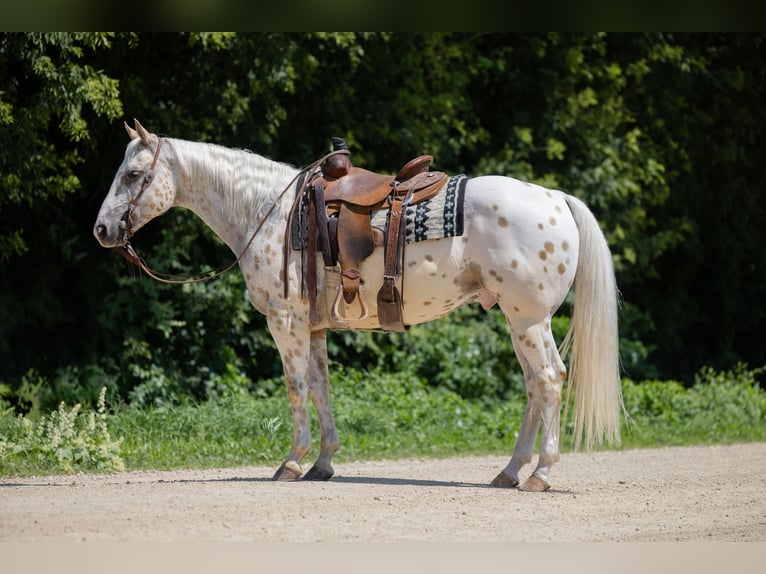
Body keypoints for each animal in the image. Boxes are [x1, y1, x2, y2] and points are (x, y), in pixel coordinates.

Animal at [94, 120, 623, 491]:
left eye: (134, 174)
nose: (102, 230)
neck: (270, 212)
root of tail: (556, 197)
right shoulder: (313, 326)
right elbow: (321, 387)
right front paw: (323, 462)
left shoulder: (285, 321)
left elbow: (295, 388)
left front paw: (292, 462)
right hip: (518, 323)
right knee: (535, 387)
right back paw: (510, 471)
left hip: (529, 320)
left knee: (550, 380)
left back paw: (540, 474)